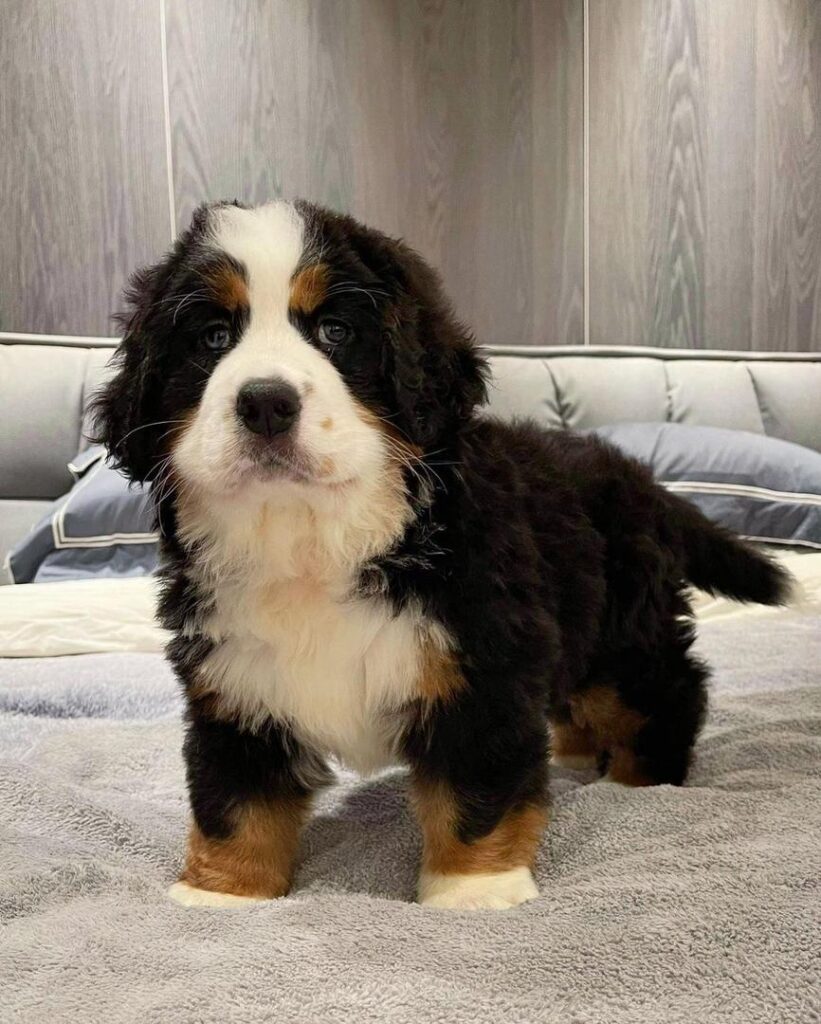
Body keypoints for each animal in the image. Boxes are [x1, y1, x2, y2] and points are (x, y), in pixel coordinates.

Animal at [92, 199, 791, 910]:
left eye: (335, 330)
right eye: (212, 338)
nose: (264, 402)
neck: (314, 541)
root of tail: (641, 476)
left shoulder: (484, 666)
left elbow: (473, 788)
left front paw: (474, 888)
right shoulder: (234, 681)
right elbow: (236, 798)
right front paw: (224, 893)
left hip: (621, 636)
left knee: (665, 695)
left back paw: (637, 783)